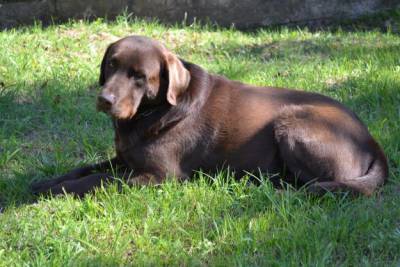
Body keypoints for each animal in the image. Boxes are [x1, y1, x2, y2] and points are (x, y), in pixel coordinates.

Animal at [31, 35, 388, 197]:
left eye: (139, 77)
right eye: (111, 64)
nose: (105, 99)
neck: (154, 112)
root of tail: (372, 142)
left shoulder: (159, 175)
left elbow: (99, 179)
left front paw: (56, 190)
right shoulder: (123, 158)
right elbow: (85, 168)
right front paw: (45, 181)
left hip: (293, 123)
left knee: (315, 183)